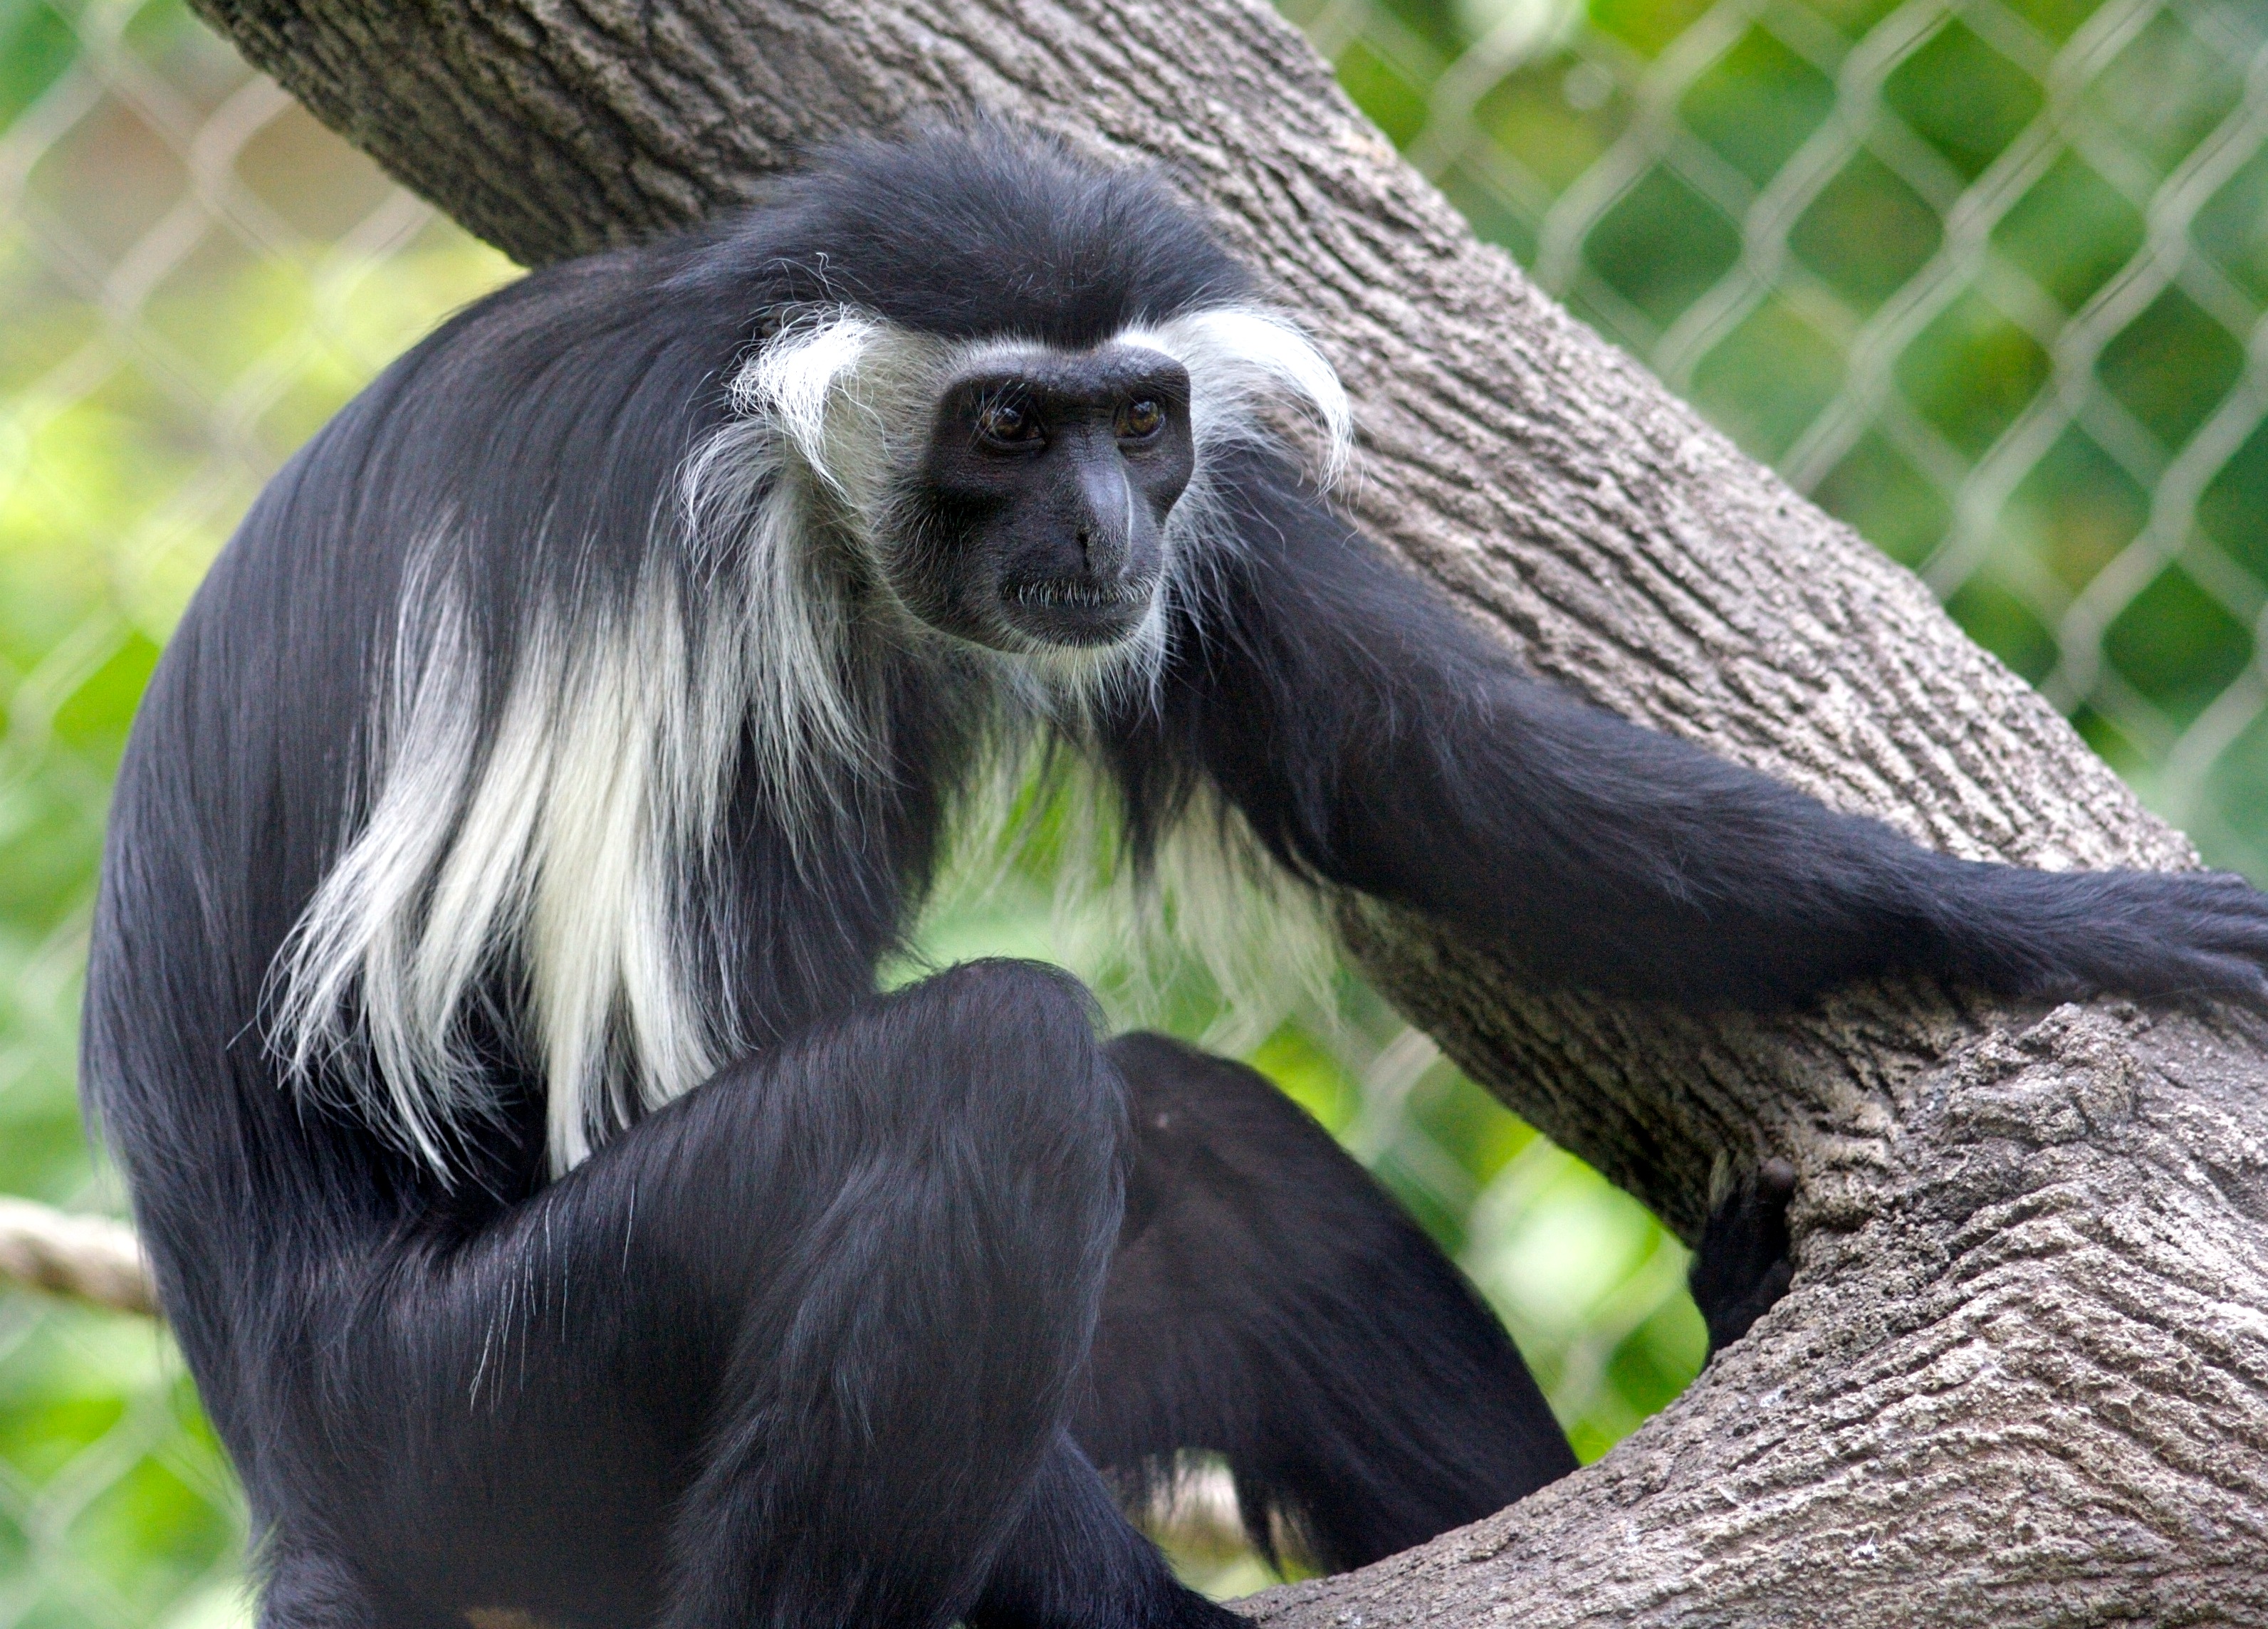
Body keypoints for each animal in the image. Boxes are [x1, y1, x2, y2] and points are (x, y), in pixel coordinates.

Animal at [88, 131, 2268, 1629]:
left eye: (1138, 422)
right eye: (1004, 424)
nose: (1106, 529)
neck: (792, 472)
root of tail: (291, 1459)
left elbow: (1416, 768)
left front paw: (2061, 922)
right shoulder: (657, 577)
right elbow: (641, 1064)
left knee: (1218, 1166)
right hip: (476, 1407)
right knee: (991, 1079)